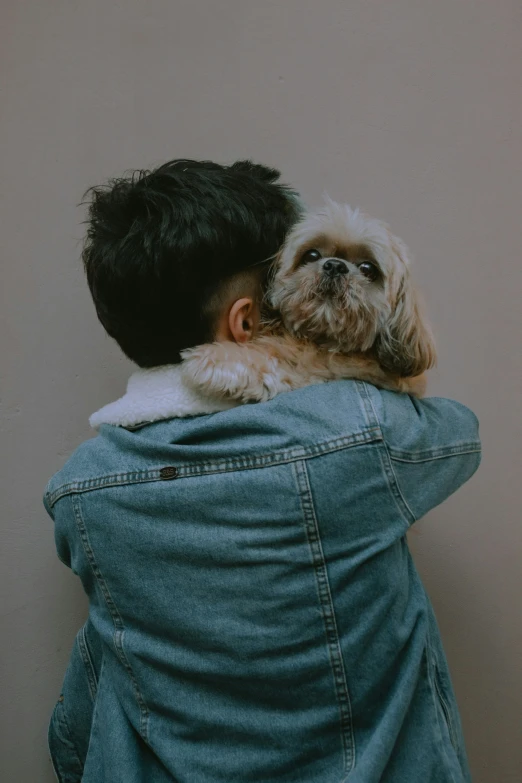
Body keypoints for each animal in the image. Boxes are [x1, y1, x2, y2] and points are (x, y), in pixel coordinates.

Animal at [181, 199, 432, 404]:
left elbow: (279, 359)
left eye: (368, 269)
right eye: (311, 255)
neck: (324, 342)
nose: (335, 266)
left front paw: (217, 358)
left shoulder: (322, 368)